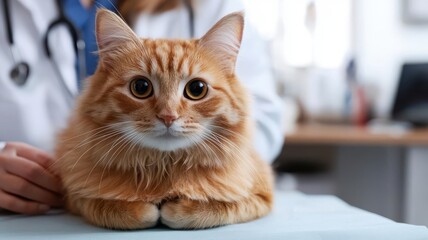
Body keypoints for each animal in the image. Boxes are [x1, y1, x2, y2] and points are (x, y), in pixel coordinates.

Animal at [55, 9, 272, 230]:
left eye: (197, 89)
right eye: (140, 87)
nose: (168, 116)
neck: (163, 167)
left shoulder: (260, 195)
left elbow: (215, 208)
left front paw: (176, 210)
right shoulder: (74, 196)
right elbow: (111, 207)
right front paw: (146, 210)